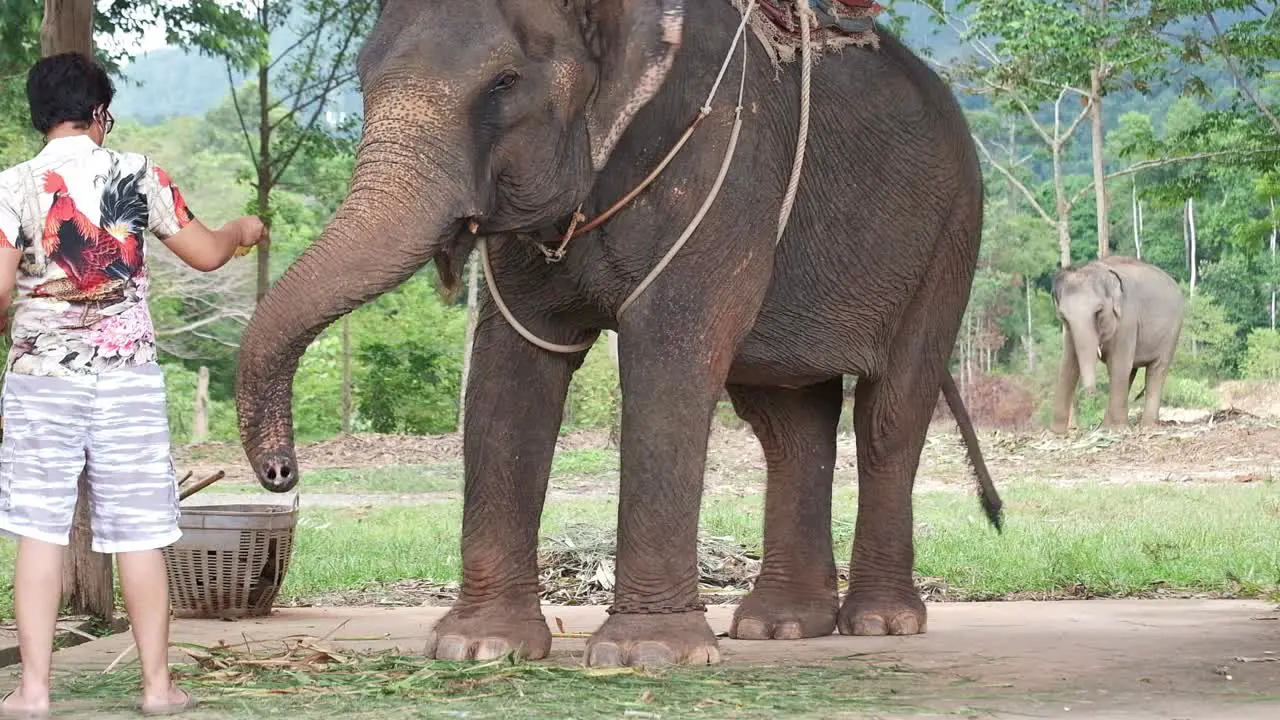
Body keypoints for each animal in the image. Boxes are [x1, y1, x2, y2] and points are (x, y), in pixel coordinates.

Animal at [235, 0, 1003, 666]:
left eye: (505, 83)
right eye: (362, 81)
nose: (281, 472)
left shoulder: (717, 163)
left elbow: (669, 351)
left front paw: (648, 656)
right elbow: (511, 367)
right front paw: (480, 648)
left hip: (950, 234)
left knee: (890, 415)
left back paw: (880, 622)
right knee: (788, 419)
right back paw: (778, 626)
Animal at [1049, 254, 1187, 427]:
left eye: (1098, 311)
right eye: (1063, 317)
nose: (1091, 393)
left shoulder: (1127, 319)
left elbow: (1118, 364)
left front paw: (1117, 429)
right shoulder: (1069, 331)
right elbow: (1068, 364)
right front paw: (1056, 431)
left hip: (1172, 332)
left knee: (1156, 369)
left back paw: (1145, 425)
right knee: (1131, 372)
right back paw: (1109, 426)